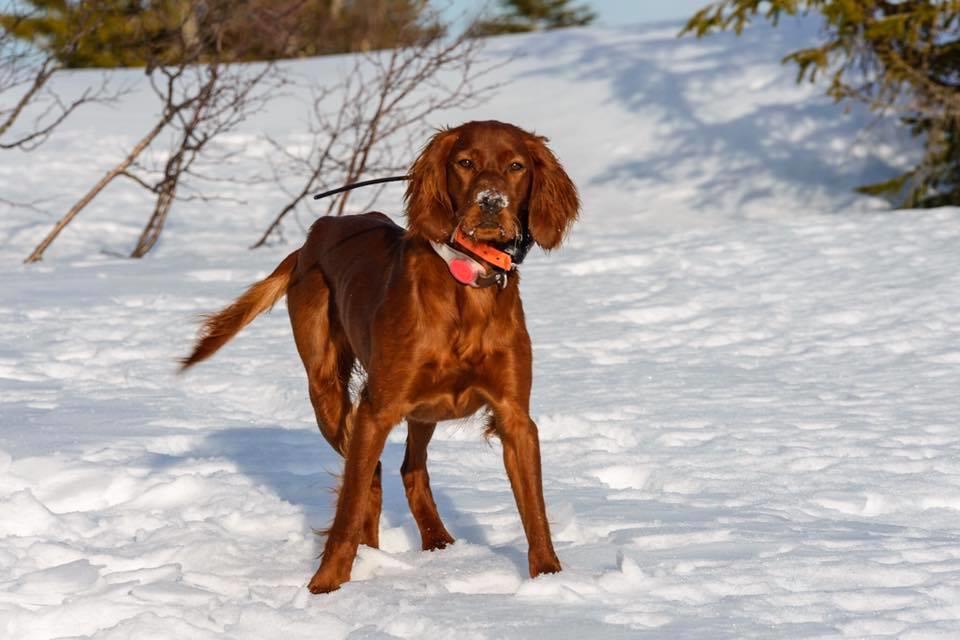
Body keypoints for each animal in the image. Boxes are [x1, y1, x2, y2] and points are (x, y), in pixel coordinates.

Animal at [184, 119, 580, 592]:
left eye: (517, 166)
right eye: (465, 163)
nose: (490, 203)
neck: (467, 286)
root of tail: (315, 235)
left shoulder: (515, 416)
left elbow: (534, 510)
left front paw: (550, 578)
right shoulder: (377, 408)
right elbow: (349, 505)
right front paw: (325, 586)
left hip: (421, 411)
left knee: (410, 468)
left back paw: (437, 541)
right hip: (328, 393)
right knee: (366, 478)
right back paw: (370, 555)